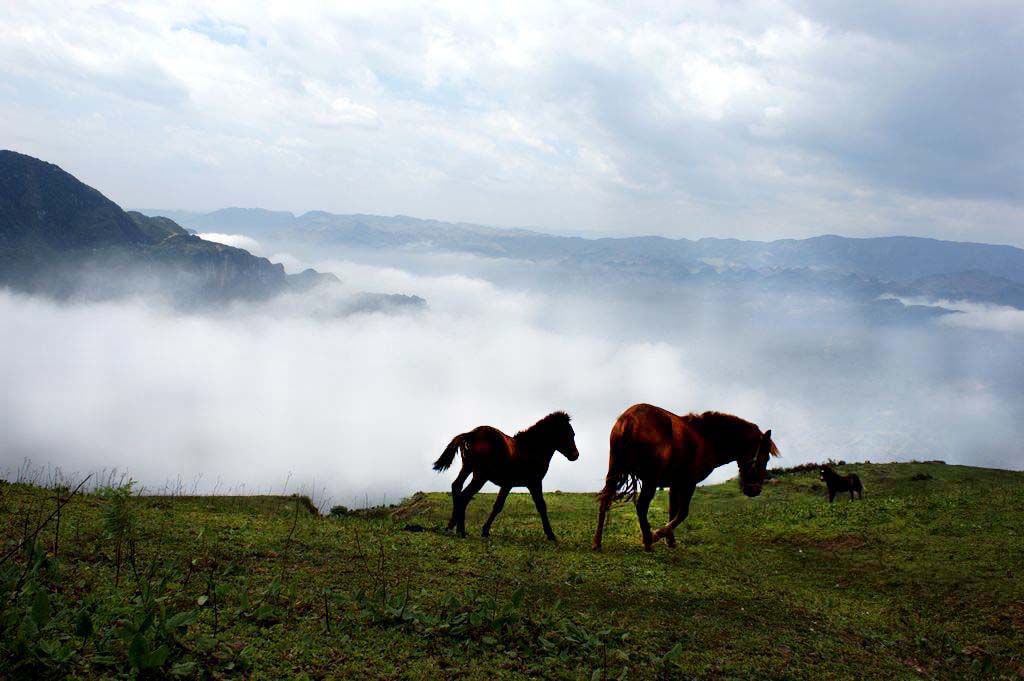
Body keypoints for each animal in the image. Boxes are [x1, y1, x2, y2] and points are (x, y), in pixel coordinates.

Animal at [430, 411, 581, 540]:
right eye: (568, 433)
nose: (575, 455)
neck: (531, 449)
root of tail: (472, 434)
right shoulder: (534, 482)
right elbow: (541, 506)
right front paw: (551, 535)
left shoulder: (507, 484)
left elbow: (498, 506)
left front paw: (485, 531)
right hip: (480, 475)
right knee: (464, 496)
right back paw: (461, 532)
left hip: (467, 468)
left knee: (456, 487)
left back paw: (451, 527)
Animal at [593, 401, 774, 548]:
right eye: (765, 458)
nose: (755, 490)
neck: (705, 438)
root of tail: (630, 417)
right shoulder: (688, 483)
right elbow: (682, 513)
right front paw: (658, 534)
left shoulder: (675, 484)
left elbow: (672, 511)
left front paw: (670, 540)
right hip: (650, 480)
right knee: (642, 506)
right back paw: (648, 540)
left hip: (614, 471)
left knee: (605, 500)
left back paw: (597, 542)